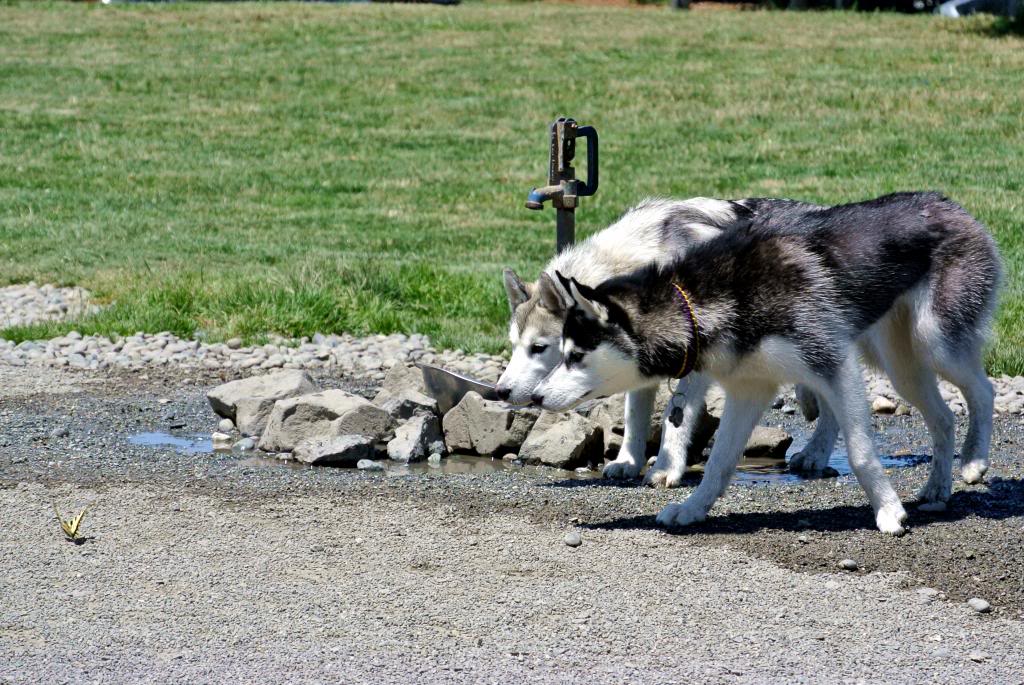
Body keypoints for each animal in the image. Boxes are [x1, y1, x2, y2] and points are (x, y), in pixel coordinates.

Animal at [532, 192, 1003, 532]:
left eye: (574, 355)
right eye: (560, 352)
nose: (535, 397)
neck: (696, 306)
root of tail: (952, 205)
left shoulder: (834, 363)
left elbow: (861, 453)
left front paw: (888, 513)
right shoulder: (749, 389)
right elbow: (719, 463)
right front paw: (692, 509)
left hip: (935, 342)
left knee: (983, 389)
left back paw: (973, 462)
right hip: (902, 366)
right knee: (943, 417)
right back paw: (937, 487)